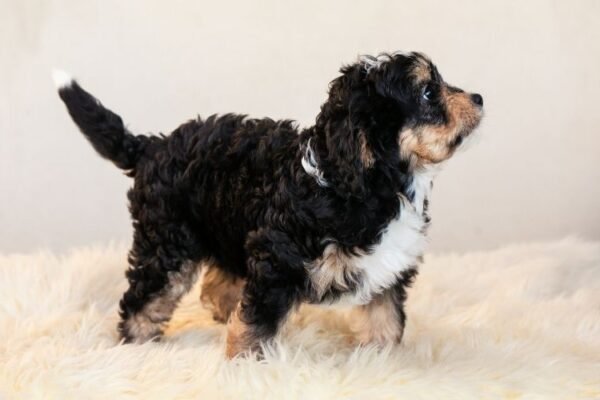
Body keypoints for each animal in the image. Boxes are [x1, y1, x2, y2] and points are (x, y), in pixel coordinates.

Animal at [52, 51, 482, 358]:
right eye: (429, 92)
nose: (478, 97)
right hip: (167, 241)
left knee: (218, 280)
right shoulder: (279, 258)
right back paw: (138, 343)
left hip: (226, 228)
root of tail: (152, 146)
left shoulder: (389, 265)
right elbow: (256, 323)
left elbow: (385, 315)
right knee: (145, 295)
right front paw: (246, 365)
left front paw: (381, 358)